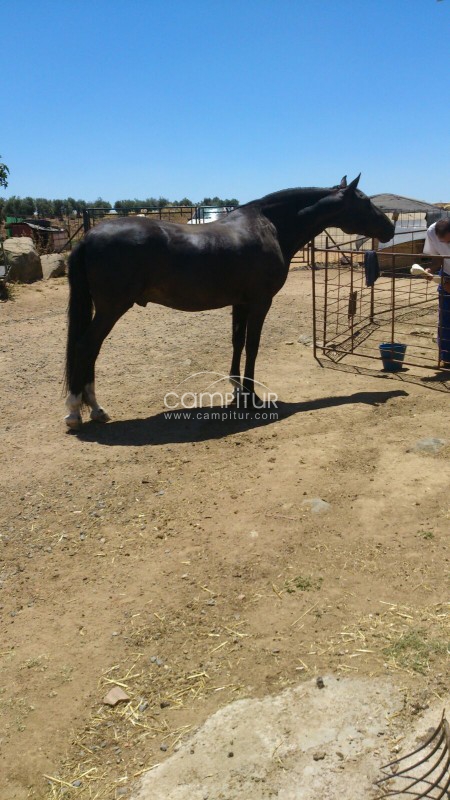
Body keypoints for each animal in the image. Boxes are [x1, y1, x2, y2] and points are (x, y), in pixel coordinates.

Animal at [64, 175, 394, 429]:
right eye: (365, 201)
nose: (390, 228)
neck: (270, 227)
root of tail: (88, 237)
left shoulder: (241, 303)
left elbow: (237, 341)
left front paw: (237, 389)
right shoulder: (261, 302)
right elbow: (253, 345)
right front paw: (251, 397)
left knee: (90, 349)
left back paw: (92, 409)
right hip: (111, 309)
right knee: (86, 347)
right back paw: (79, 411)